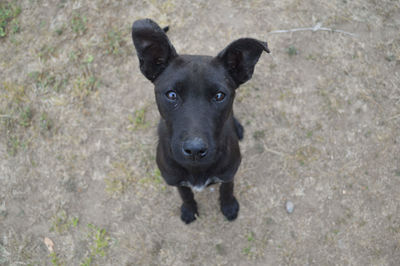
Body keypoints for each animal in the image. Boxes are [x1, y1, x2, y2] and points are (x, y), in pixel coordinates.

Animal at [131, 17, 268, 223]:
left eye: (219, 96)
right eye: (171, 95)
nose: (195, 150)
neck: (196, 168)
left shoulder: (228, 174)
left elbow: (227, 190)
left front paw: (228, 206)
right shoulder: (175, 180)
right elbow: (185, 194)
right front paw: (189, 209)